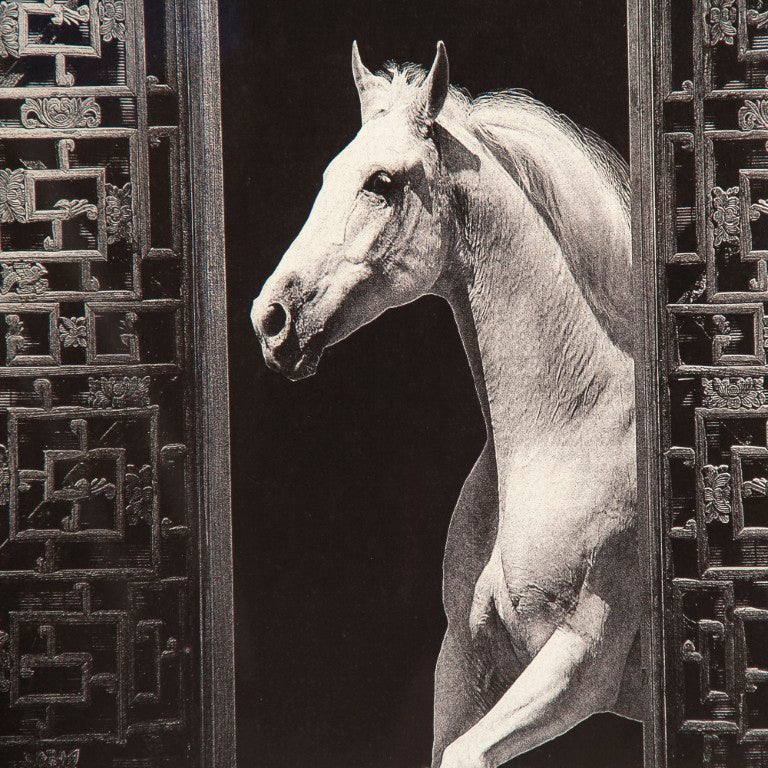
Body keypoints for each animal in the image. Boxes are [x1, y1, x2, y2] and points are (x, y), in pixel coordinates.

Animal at [250, 42, 641, 768]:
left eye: (381, 181)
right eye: (329, 174)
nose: (273, 320)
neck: (567, 436)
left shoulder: (580, 663)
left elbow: (466, 754)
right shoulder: (463, 660)